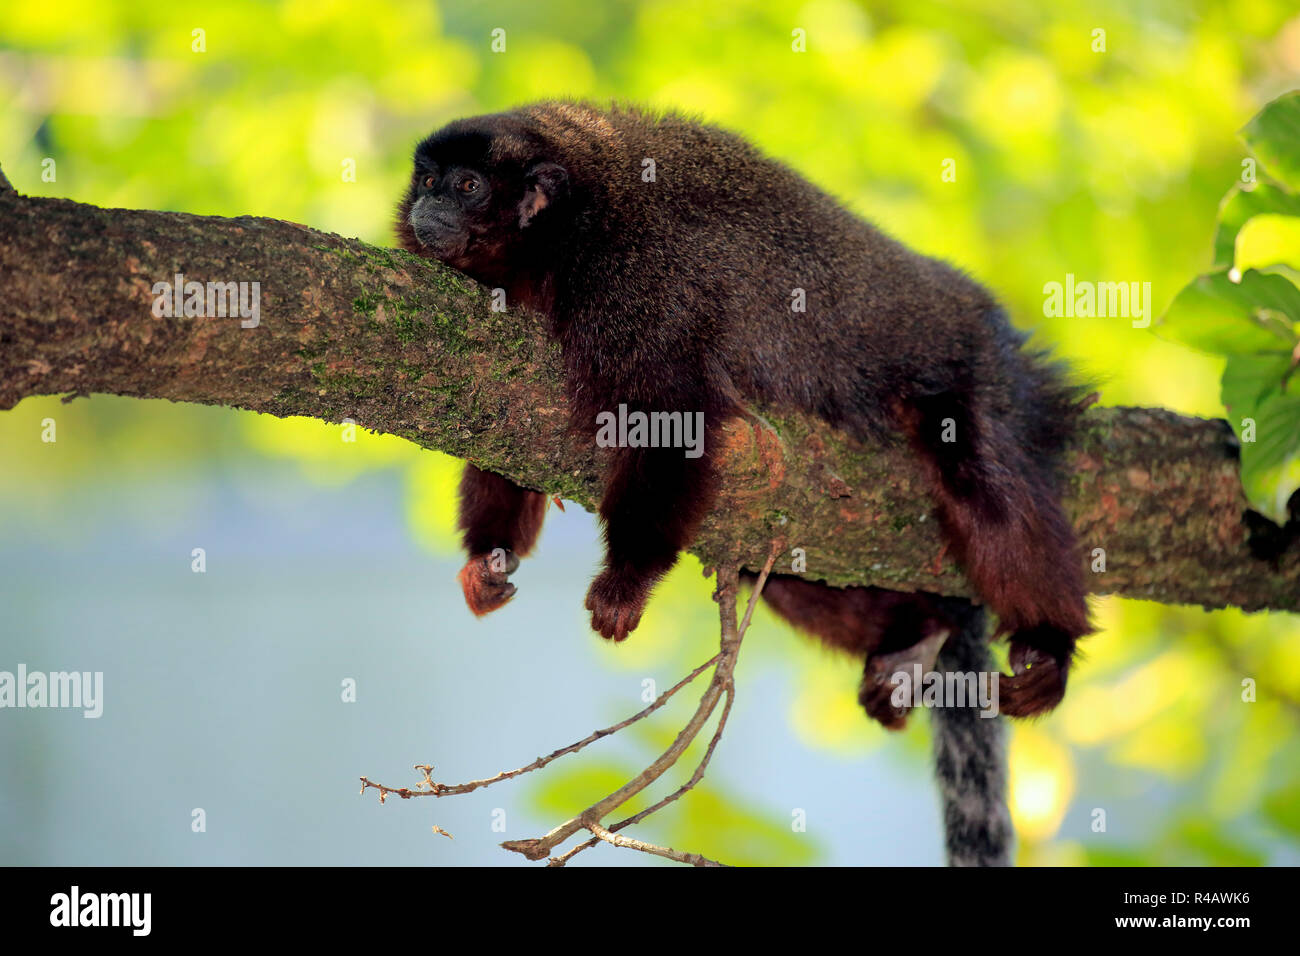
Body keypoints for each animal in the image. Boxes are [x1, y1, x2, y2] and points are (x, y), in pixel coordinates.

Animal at [396, 101, 1091, 864]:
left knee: (983, 488)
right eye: (427, 179)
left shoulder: (637, 286)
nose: (427, 204)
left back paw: (1051, 645)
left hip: (976, 370)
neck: (567, 229)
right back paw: (916, 639)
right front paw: (488, 559)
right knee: (786, 568)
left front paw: (625, 582)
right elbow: (502, 432)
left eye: (467, 185)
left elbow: (674, 420)